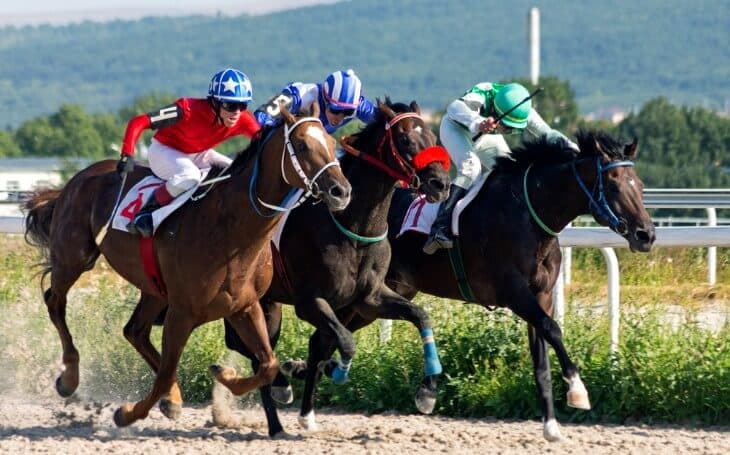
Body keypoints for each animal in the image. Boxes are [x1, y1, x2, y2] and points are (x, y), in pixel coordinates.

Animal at [23, 106, 352, 428]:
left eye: (332, 142)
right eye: (302, 145)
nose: (341, 191)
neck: (230, 230)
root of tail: (77, 179)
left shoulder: (244, 306)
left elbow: (268, 365)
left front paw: (224, 375)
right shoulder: (182, 312)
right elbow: (165, 374)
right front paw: (127, 413)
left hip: (154, 288)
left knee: (135, 331)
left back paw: (171, 396)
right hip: (74, 256)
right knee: (55, 301)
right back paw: (70, 377)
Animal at [220, 99, 452, 436]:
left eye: (433, 137)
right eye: (405, 140)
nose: (441, 184)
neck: (354, 225)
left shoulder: (369, 298)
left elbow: (420, 316)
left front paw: (427, 391)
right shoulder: (310, 302)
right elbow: (344, 341)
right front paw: (337, 372)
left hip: (271, 303)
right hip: (256, 302)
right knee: (257, 352)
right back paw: (278, 406)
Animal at [383, 130, 656, 441]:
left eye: (640, 186)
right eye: (612, 185)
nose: (646, 235)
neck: (529, 216)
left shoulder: (542, 296)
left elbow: (541, 358)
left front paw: (551, 426)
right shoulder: (514, 293)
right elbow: (553, 328)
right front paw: (577, 389)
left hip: (395, 287)